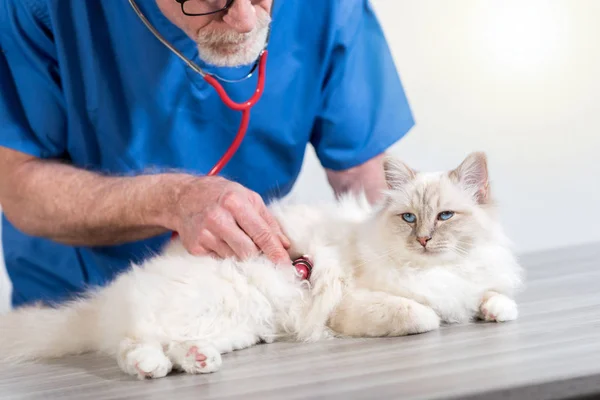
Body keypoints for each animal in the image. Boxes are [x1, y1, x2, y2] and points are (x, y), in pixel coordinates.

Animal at [0, 152, 520, 378]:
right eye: (409, 218)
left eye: (445, 216)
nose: (425, 239)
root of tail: (106, 298)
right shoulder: (350, 304)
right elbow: (424, 314)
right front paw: (435, 314)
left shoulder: (475, 279)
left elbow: (494, 297)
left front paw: (495, 310)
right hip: (204, 306)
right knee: (133, 345)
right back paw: (153, 368)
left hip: (238, 325)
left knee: (176, 345)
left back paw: (198, 361)